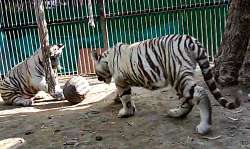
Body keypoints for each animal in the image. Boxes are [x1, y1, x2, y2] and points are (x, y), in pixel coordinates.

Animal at [92, 34, 240, 134]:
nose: (98, 79)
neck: (107, 58)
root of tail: (190, 39)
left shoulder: (120, 80)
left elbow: (125, 98)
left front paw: (125, 112)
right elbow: (125, 97)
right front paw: (124, 105)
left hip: (178, 73)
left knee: (199, 93)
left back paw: (204, 127)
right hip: (179, 77)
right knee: (187, 100)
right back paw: (176, 113)